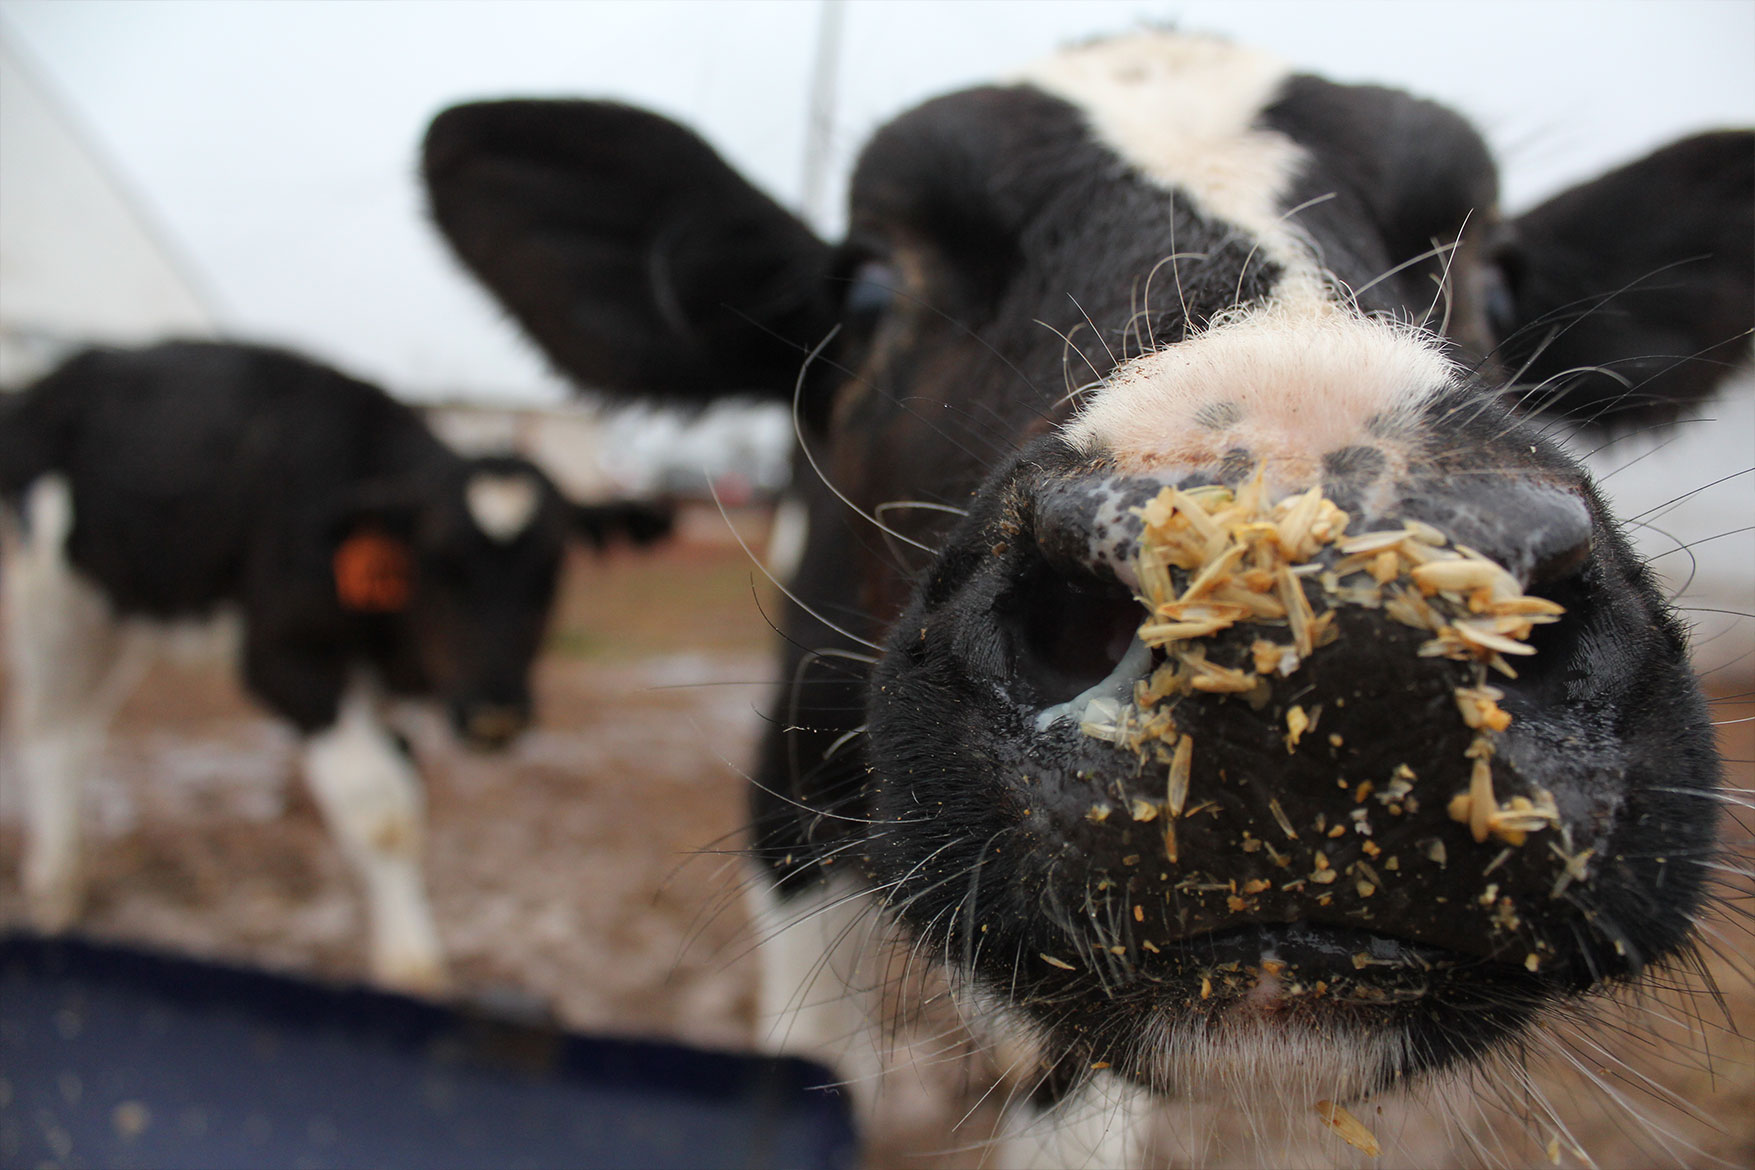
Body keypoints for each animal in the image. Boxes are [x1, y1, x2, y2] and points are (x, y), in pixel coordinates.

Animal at [0, 343, 670, 996]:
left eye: (553, 569)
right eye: (440, 560)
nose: (495, 715)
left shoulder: (383, 691)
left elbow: (410, 803)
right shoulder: (285, 660)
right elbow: (384, 816)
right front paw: (411, 966)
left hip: (114, 612)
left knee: (80, 730)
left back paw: (72, 871)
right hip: (51, 600)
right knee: (49, 729)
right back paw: (52, 888)